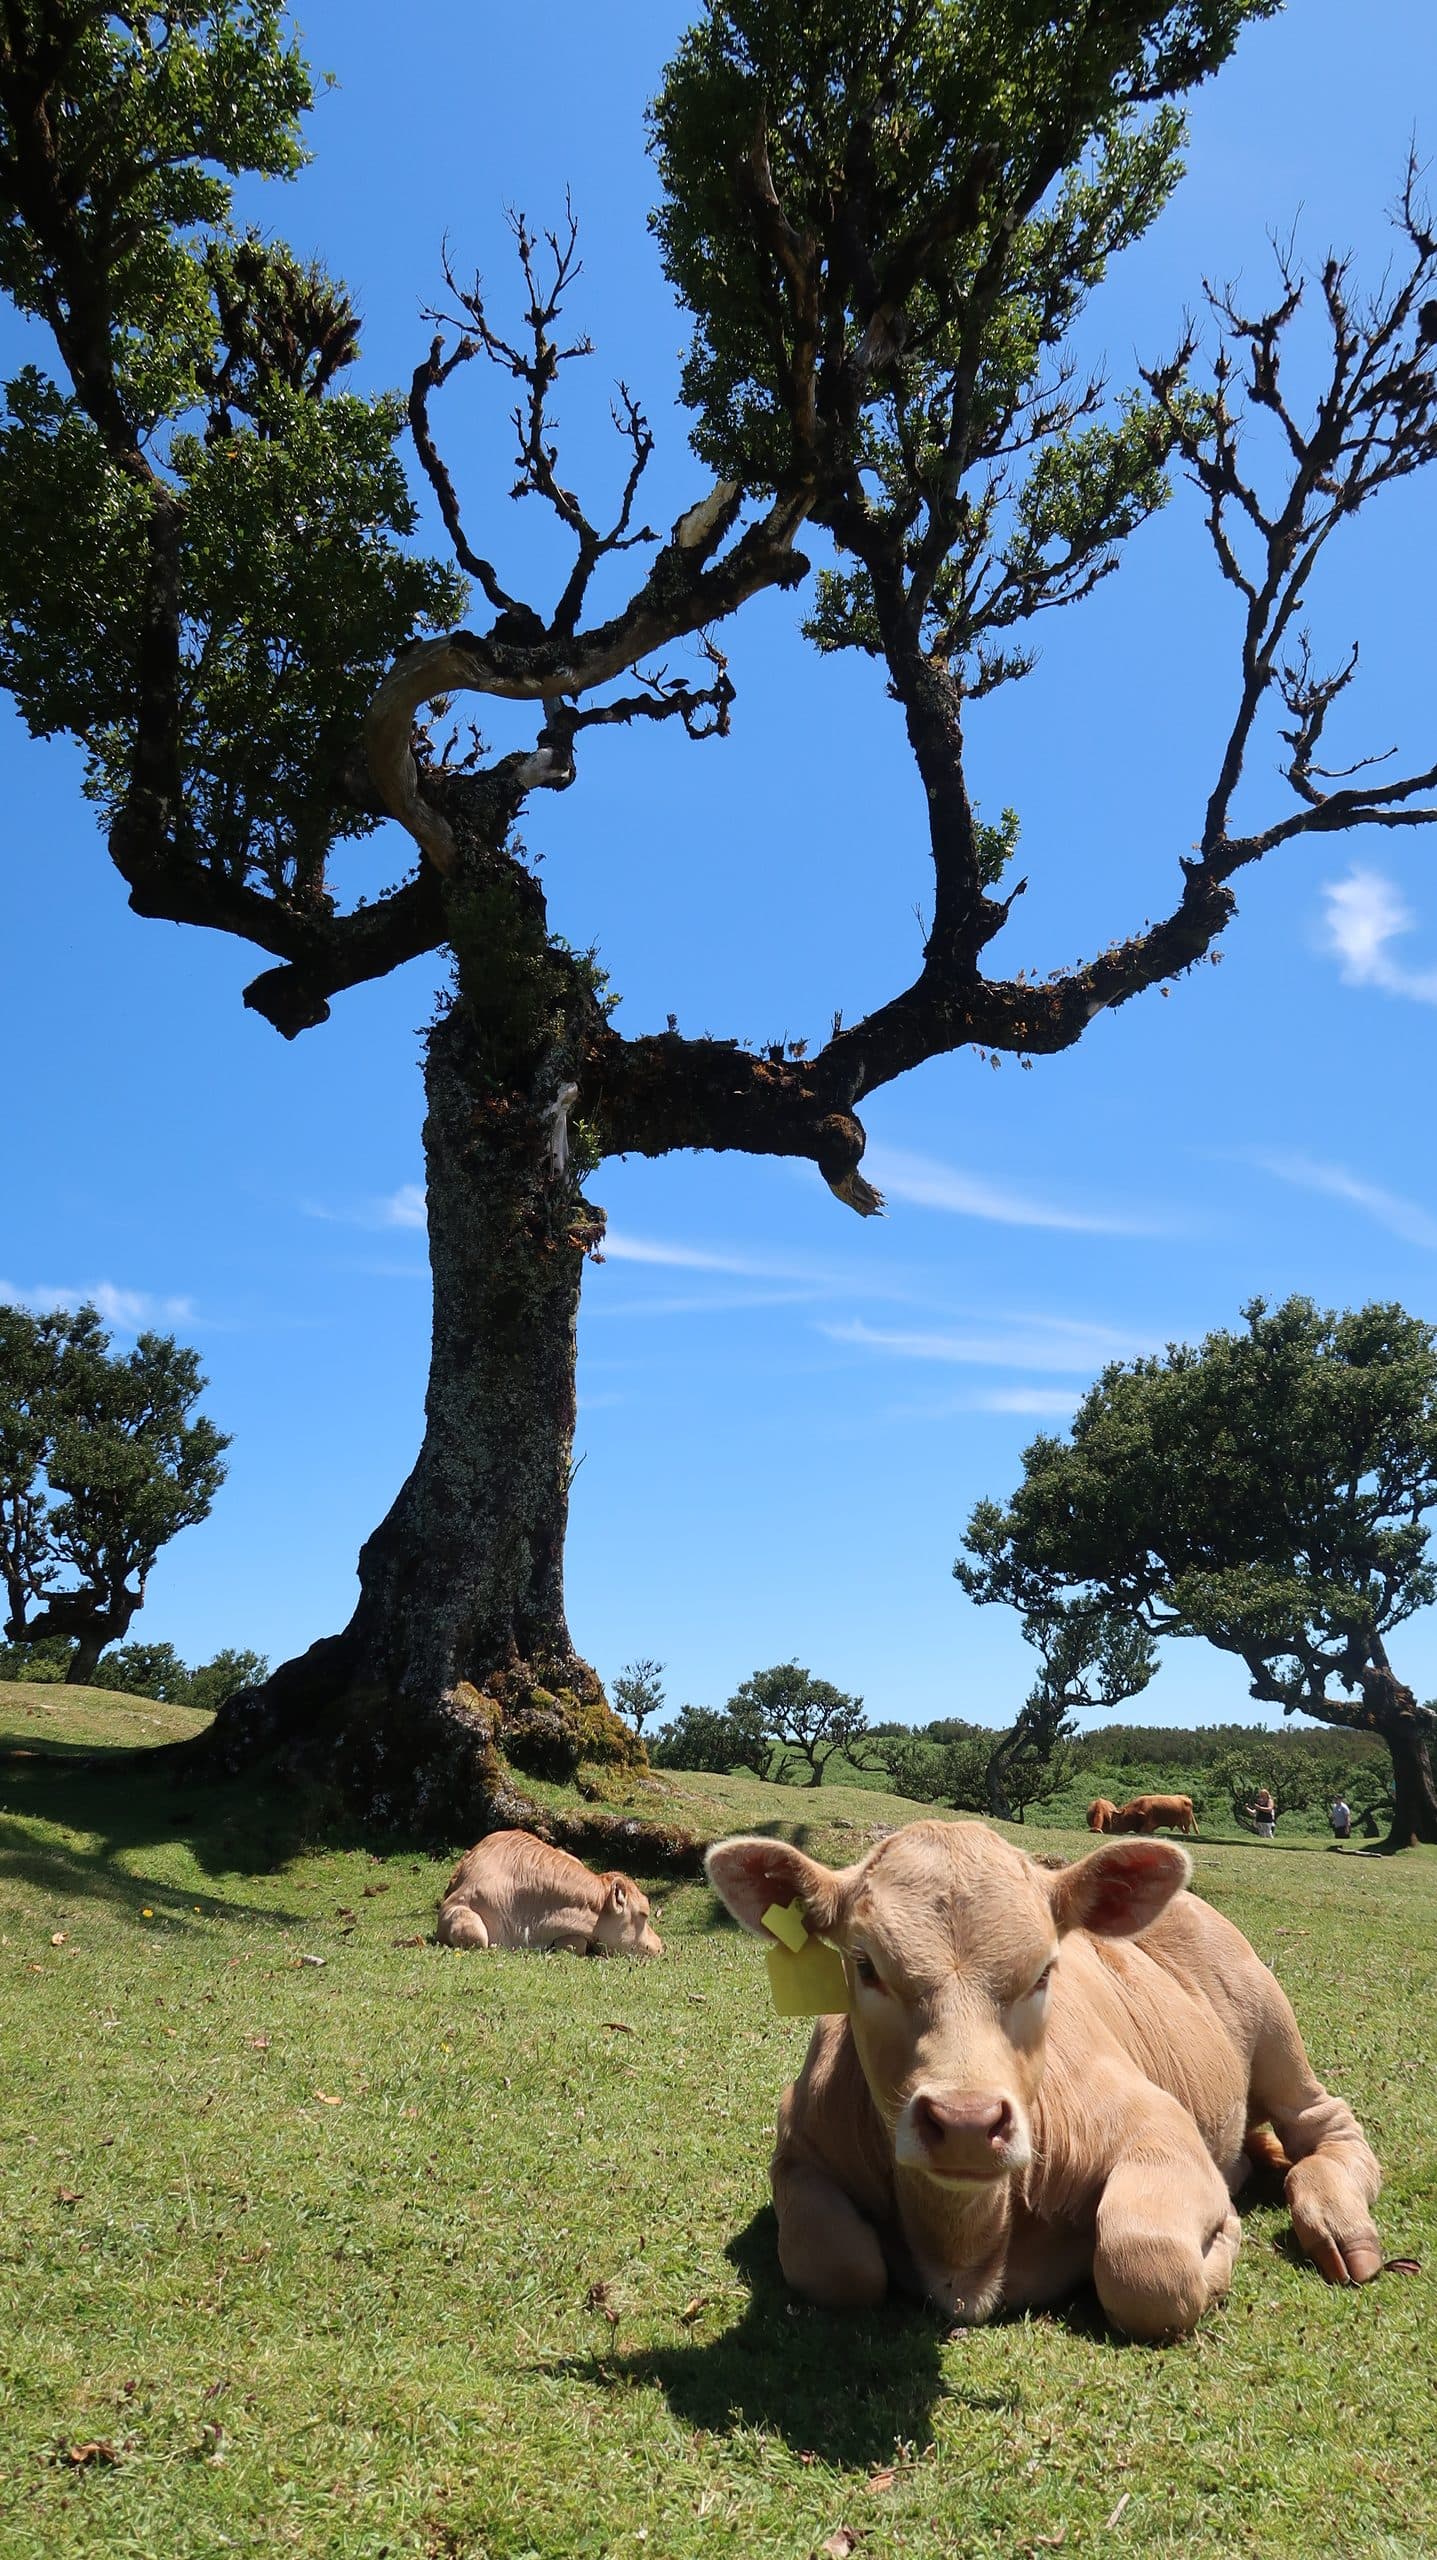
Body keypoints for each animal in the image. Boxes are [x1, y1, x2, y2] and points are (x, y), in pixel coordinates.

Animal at [705, 1819, 1381, 2340]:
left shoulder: (1159, 2125)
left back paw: (1338, 2223)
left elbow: (1145, 2264)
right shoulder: (799, 2145)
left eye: (1044, 1971)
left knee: (1324, 2123)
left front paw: (1225, 2239)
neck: (964, 2247)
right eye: (864, 1964)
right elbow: (836, 2263)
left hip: (1273, 2033)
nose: (966, 2123)